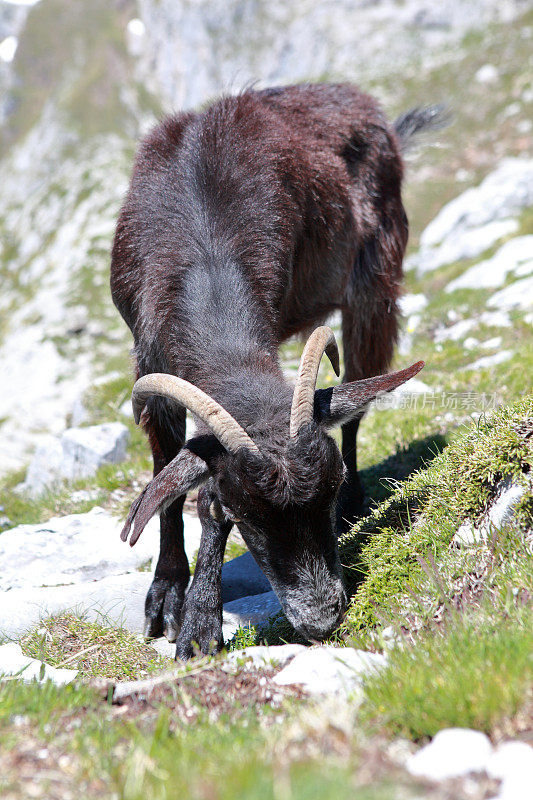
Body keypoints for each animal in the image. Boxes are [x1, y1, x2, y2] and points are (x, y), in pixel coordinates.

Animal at [109, 84, 436, 660]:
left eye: (327, 488)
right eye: (247, 515)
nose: (322, 620)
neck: (206, 243)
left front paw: (199, 625)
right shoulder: (150, 365)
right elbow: (168, 478)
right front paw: (169, 596)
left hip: (375, 278)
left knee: (356, 405)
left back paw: (357, 501)